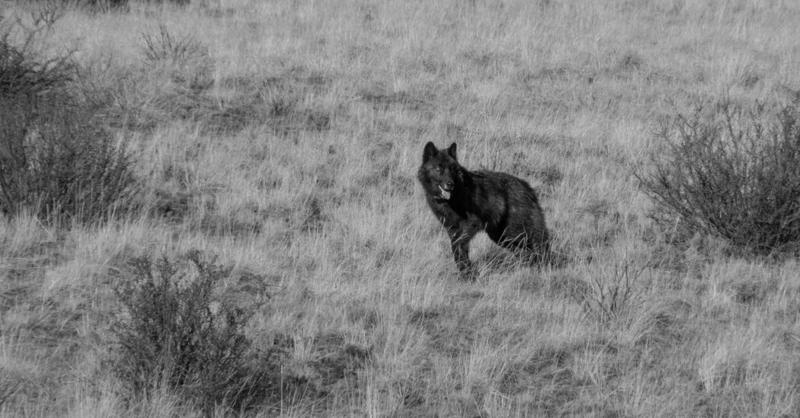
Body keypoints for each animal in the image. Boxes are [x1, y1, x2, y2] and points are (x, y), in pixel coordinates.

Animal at [417, 142, 550, 280]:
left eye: (453, 169)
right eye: (438, 169)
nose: (450, 184)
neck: (452, 199)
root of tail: (526, 186)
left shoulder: (470, 224)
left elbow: (457, 246)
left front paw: (468, 274)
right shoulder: (451, 228)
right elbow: (459, 251)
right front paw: (466, 273)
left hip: (515, 232)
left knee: (539, 246)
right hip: (502, 237)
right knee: (525, 252)